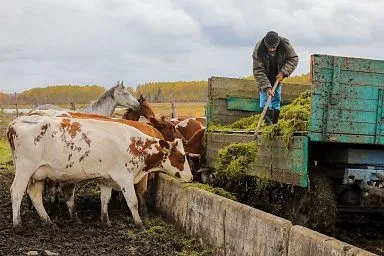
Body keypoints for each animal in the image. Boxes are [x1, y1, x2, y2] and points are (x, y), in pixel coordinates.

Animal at [6, 115, 192, 227]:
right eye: (182, 158)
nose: (190, 178)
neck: (135, 144)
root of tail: (15, 122)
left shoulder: (106, 179)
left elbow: (105, 200)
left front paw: (105, 220)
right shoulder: (124, 178)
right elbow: (133, 201)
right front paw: (139, 223)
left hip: (38, 174)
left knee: (35, 194)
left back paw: (48, 221)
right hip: (25, 169)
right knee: (16, 192)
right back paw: (17, 223)